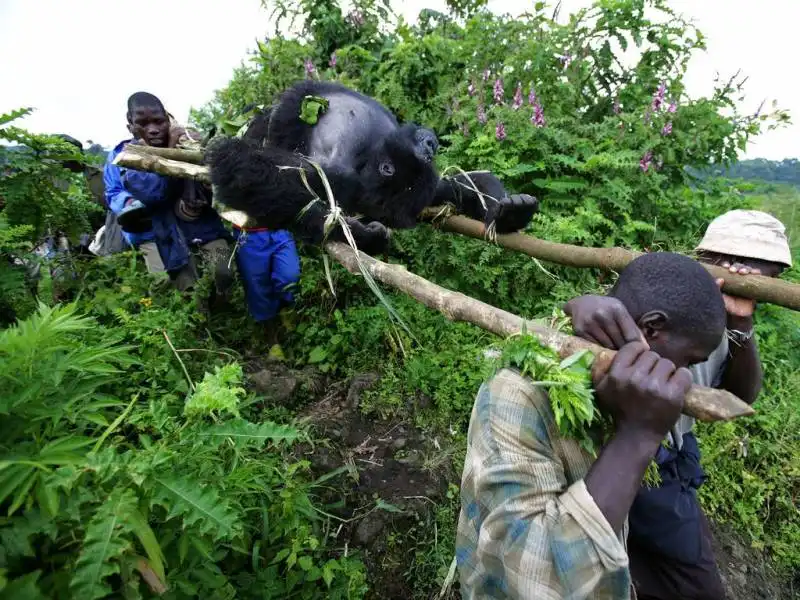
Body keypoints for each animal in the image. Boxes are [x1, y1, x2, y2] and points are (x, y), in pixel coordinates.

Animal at [205, 80, 536, 253]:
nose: (429, 147)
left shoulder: (426, 189)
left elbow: (460, 188)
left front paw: (510, 213)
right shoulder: (342, 174)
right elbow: (251, 172)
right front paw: (367, 237)